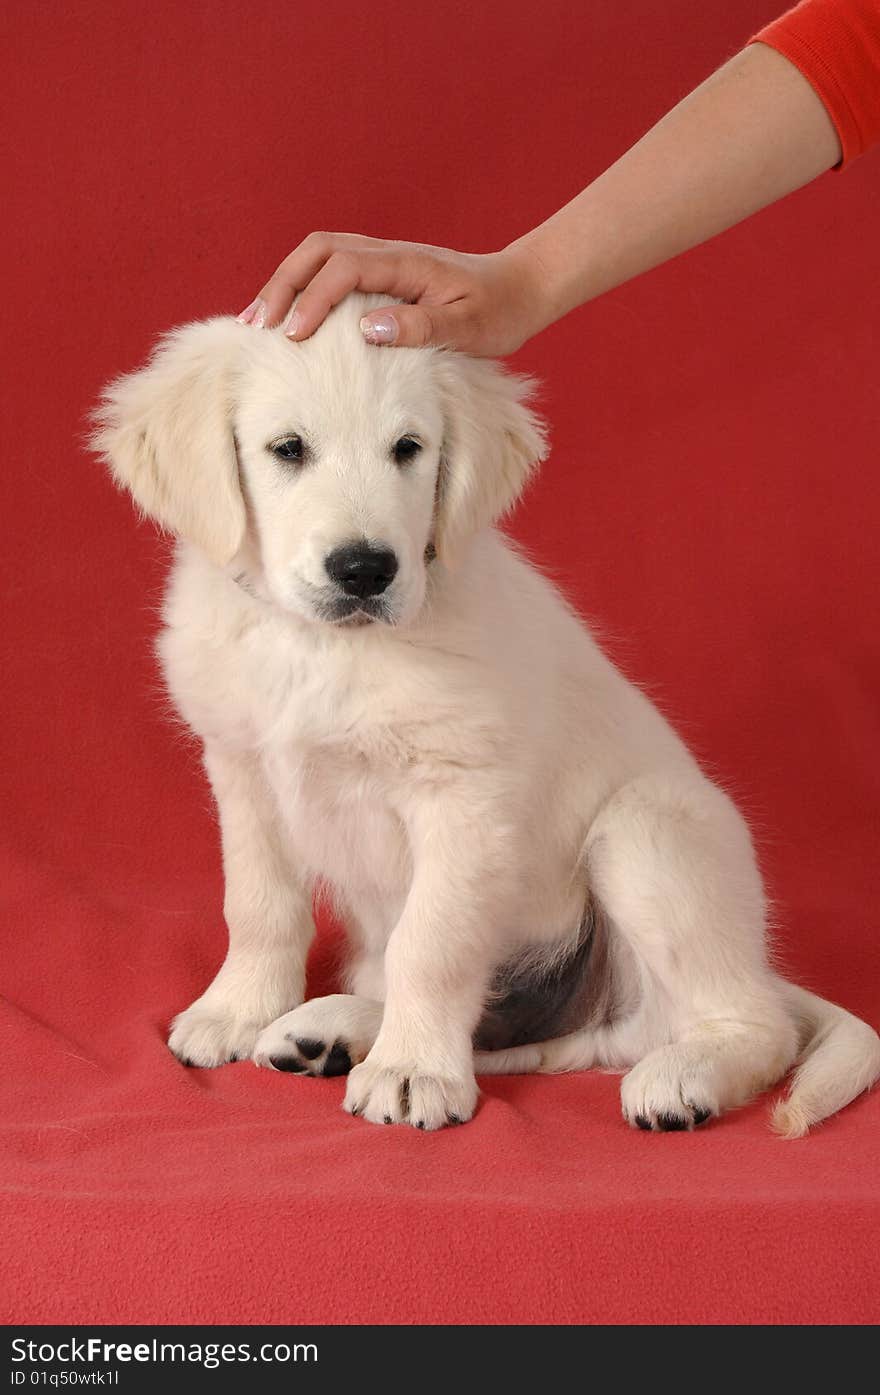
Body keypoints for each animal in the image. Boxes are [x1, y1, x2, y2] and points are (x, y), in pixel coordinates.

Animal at [91, 294, 880, 1132]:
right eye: (288, 449)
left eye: (408, 448)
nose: (365, 568)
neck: (325, 647)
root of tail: (759, 966)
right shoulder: (244, 771)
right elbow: (259, 905)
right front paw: (236, 1009)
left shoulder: (463, 796)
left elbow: (429, 944)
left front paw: (412, 1069)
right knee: (553, 1034)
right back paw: (334, 1029)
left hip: (648, 826)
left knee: (741, 1024)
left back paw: (684, 1074)